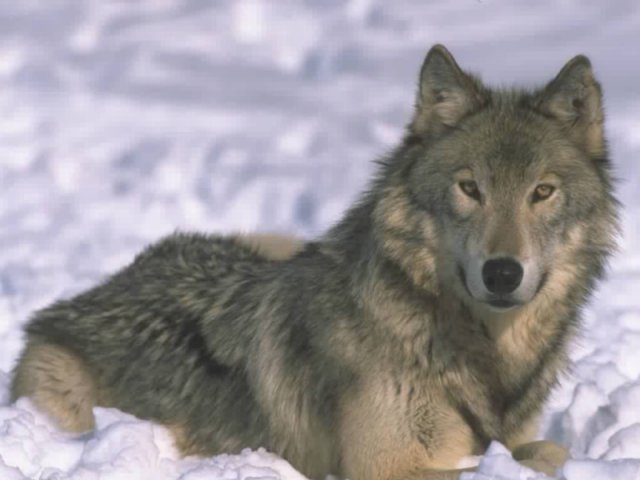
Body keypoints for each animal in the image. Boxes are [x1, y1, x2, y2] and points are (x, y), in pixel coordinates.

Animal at [11, 45, 617, 480]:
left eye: (542, 192)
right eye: (470, 188)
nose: (502, 273)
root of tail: (82, 299)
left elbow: (542, 448)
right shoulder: (389, 467)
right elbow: (545, 454)